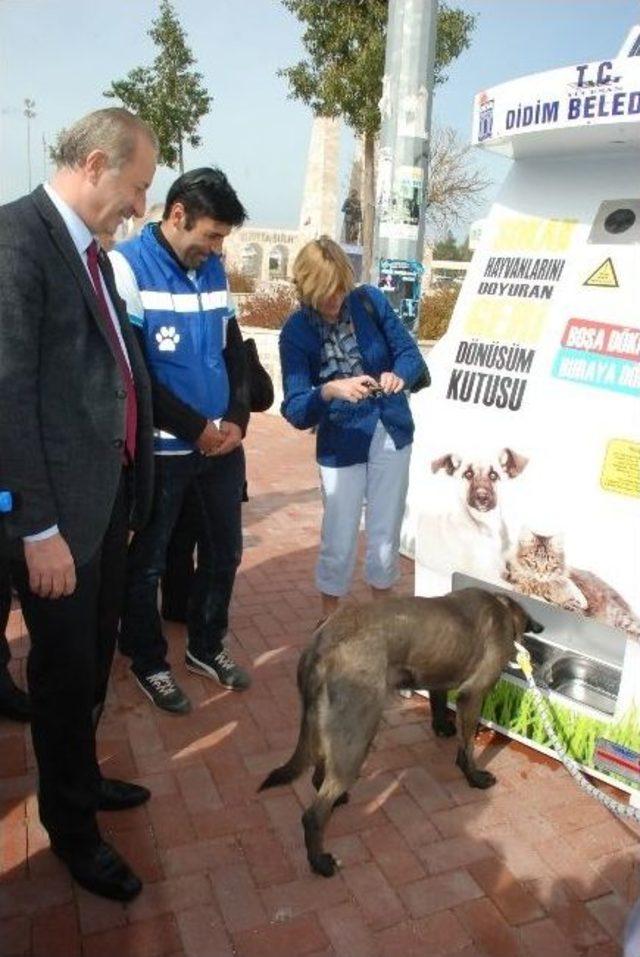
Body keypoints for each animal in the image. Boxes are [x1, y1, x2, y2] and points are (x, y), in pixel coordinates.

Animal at [258, 584, 544, 872]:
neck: (501, 606)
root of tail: (321, 642)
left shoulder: (439, 677)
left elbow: (439, 702)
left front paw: (442, 727)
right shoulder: (472, 695)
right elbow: (468, 747)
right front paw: (474, 777)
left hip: (329, 729)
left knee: (319, 776)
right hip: (357, 736)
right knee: (313, 814)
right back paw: (320, 862)